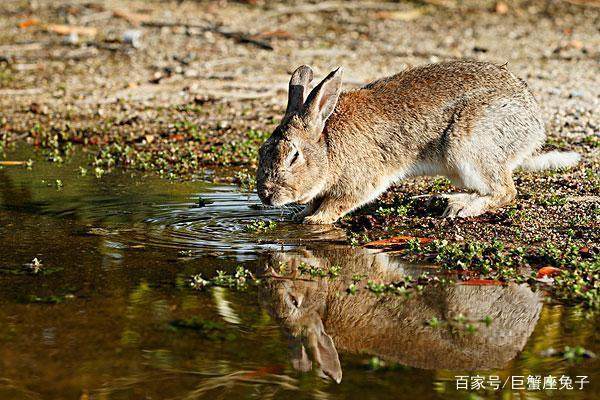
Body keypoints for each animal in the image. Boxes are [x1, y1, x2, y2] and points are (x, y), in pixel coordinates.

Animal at [256, 61, 580, 225]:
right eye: (263, 151)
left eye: (293, 157)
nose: (266, 196)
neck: (326, 145)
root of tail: (534, 128)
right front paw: (303, 214)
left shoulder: (361, 180)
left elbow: (340, 203)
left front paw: (314, 221)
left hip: (469, 147)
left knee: (506, 192)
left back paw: (461, 208)